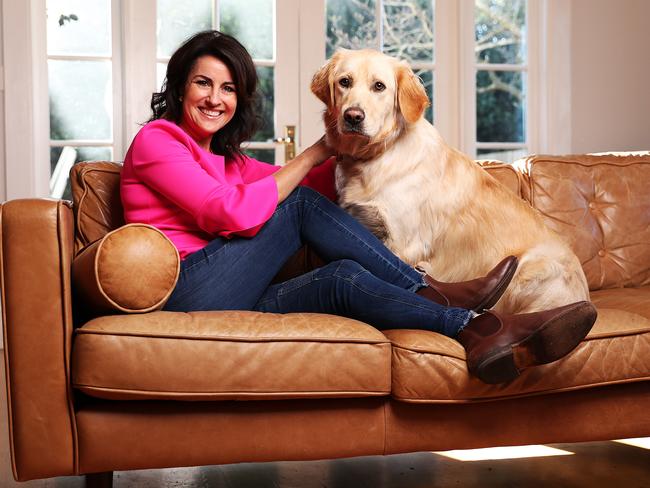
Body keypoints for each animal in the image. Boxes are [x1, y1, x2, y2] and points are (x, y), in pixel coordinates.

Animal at [312, 49, 588, 314]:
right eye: (344, 82)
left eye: (379, 86)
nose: (353, 116)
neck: (375, 156)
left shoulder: (403, 243)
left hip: (531, 268)